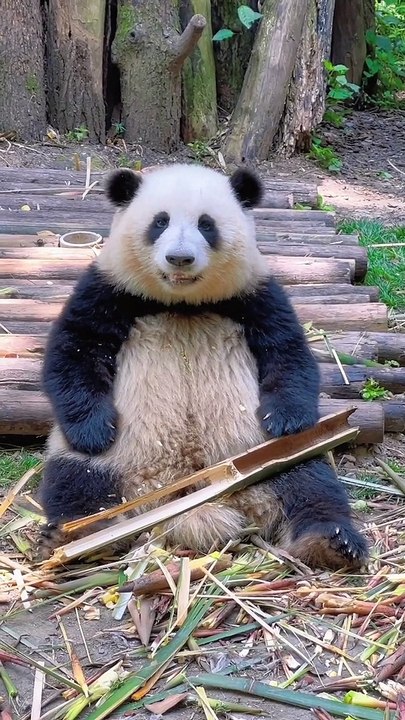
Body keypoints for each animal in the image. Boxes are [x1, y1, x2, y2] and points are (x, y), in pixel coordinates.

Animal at [38, 163, 368, 570]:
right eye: (160, 222)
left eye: (206, 224)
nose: (180, 258)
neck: (183, 304)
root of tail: (190, 494)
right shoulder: (110, 289)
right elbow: (75, 348)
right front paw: (93, 430)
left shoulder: (255, 293)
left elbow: (288, 352)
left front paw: (286, 419)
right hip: (115, 458)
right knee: (76, 480)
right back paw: (77, 536)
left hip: (266, 452)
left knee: (311, 481)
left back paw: (330, 542)